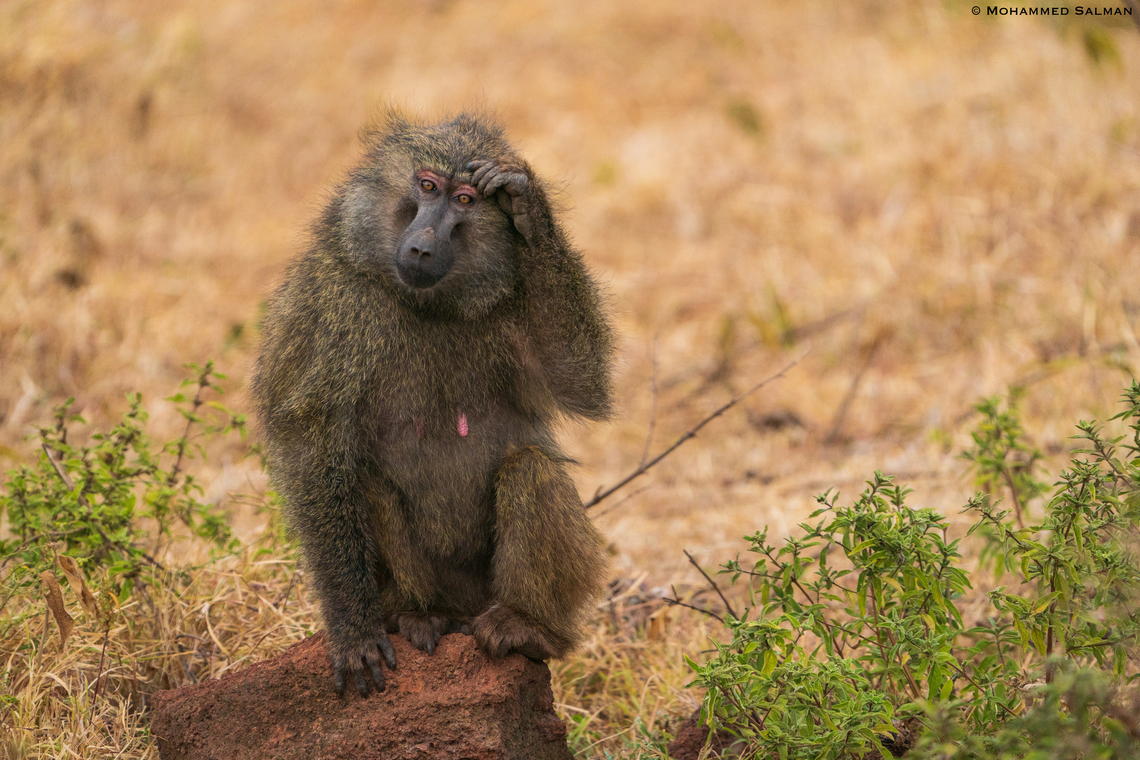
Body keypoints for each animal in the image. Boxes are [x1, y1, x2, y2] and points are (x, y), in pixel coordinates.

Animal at [251, 111, 614, 697]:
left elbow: (580, 381)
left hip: (484, 593)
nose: (422, 245)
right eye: (425, 187)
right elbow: (308, 440)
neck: (424, 301)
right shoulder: (324, 299)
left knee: (530, 469)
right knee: (364, 482)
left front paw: (526, 202)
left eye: (465, 199)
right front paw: (353, 631)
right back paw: (416, 615)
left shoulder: (511, 299)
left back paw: (528, 627)